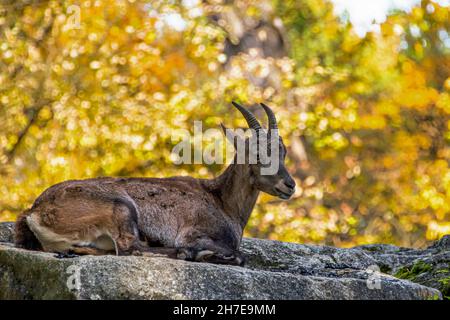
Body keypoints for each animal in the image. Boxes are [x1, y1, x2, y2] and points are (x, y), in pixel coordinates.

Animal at [14, 102, 296, 264]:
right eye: (257, 155)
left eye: (283, 152)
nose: (289, 185)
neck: (222, 202)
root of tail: (34, 212)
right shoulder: (193, 232)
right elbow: (239, 255)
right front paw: (206, 253)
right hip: (121, 208)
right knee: (130, 248)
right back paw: (190, 254)